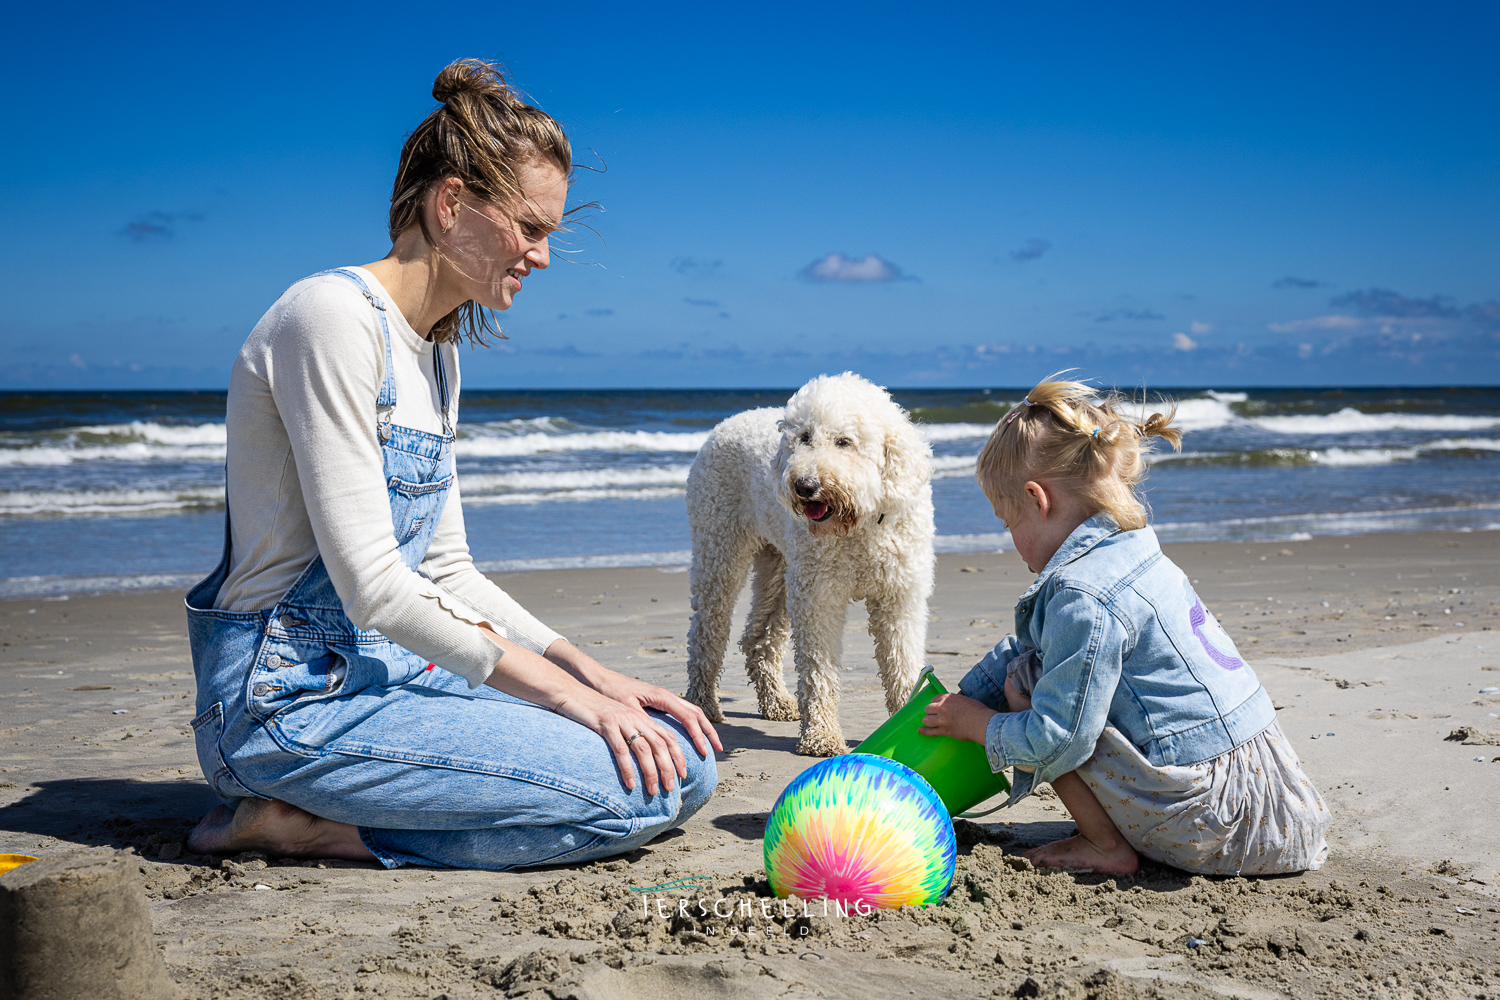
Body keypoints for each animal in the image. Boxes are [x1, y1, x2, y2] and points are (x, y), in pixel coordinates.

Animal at [684, 374, 936, 758]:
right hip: (720, 548)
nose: (804, 486)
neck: (859, 525)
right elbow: (819, 669)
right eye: (804, 437)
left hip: (781, 567)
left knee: (760, 638)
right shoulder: (820, 598)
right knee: (707, 629)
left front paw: (910, 714)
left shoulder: (899, 596)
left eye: (844, 441)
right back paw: (703, 703)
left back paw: (777, 703)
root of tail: (728, 421)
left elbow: (902, 661)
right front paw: (822, 736)